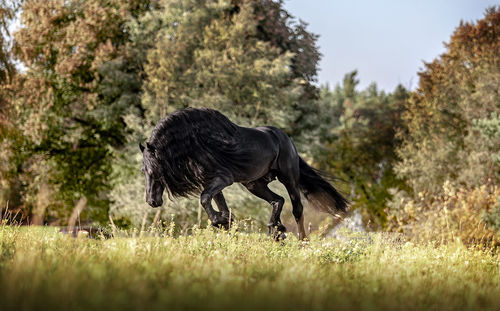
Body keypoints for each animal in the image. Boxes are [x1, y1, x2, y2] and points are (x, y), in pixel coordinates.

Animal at [139, 108, 346, 241]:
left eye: (154, 170)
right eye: (144, 170)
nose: (151, 201)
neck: (197, 142)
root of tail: (285, 139)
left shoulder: (223, 179)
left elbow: (204, 198)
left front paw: (220, 222)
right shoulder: (211, 182)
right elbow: (219, 206)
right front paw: (227, 225)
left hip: (289, 180)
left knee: (297, 209)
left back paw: (301, 241)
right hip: (255, 184)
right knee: (277, 200)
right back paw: (276, 231)